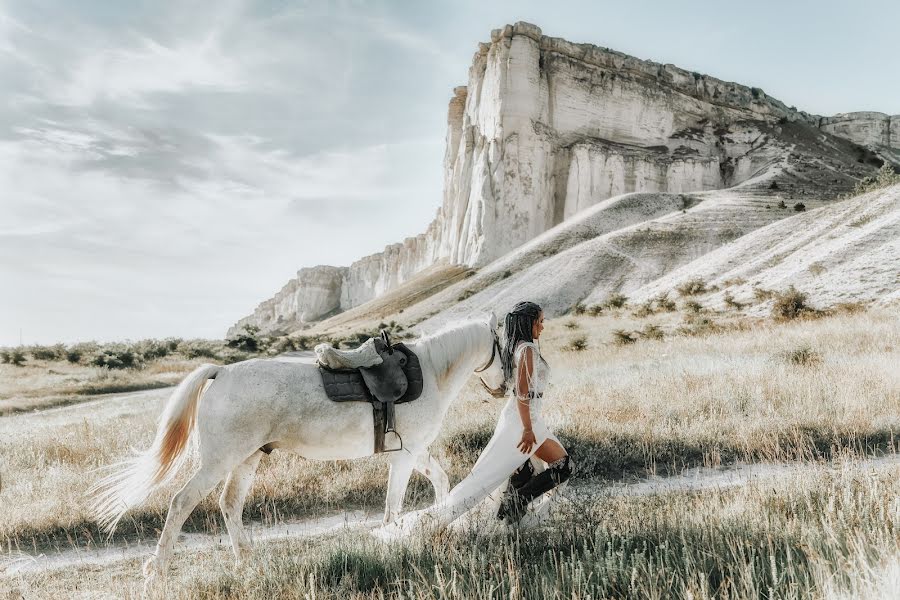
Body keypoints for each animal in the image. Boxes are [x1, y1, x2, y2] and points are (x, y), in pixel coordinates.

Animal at [91, 314, 506, 580]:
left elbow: (440, 479)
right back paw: (157, 573)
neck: (431, 372)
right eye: (503, 347)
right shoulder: (405, 455)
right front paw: (397, 542)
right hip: (219, 461)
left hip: (246, 459)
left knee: (229, 504)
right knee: (182, 502)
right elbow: (394, 505)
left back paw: (246, 563)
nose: (504, 388)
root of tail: (221, 372)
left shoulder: (414, 451)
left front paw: (442, 524)